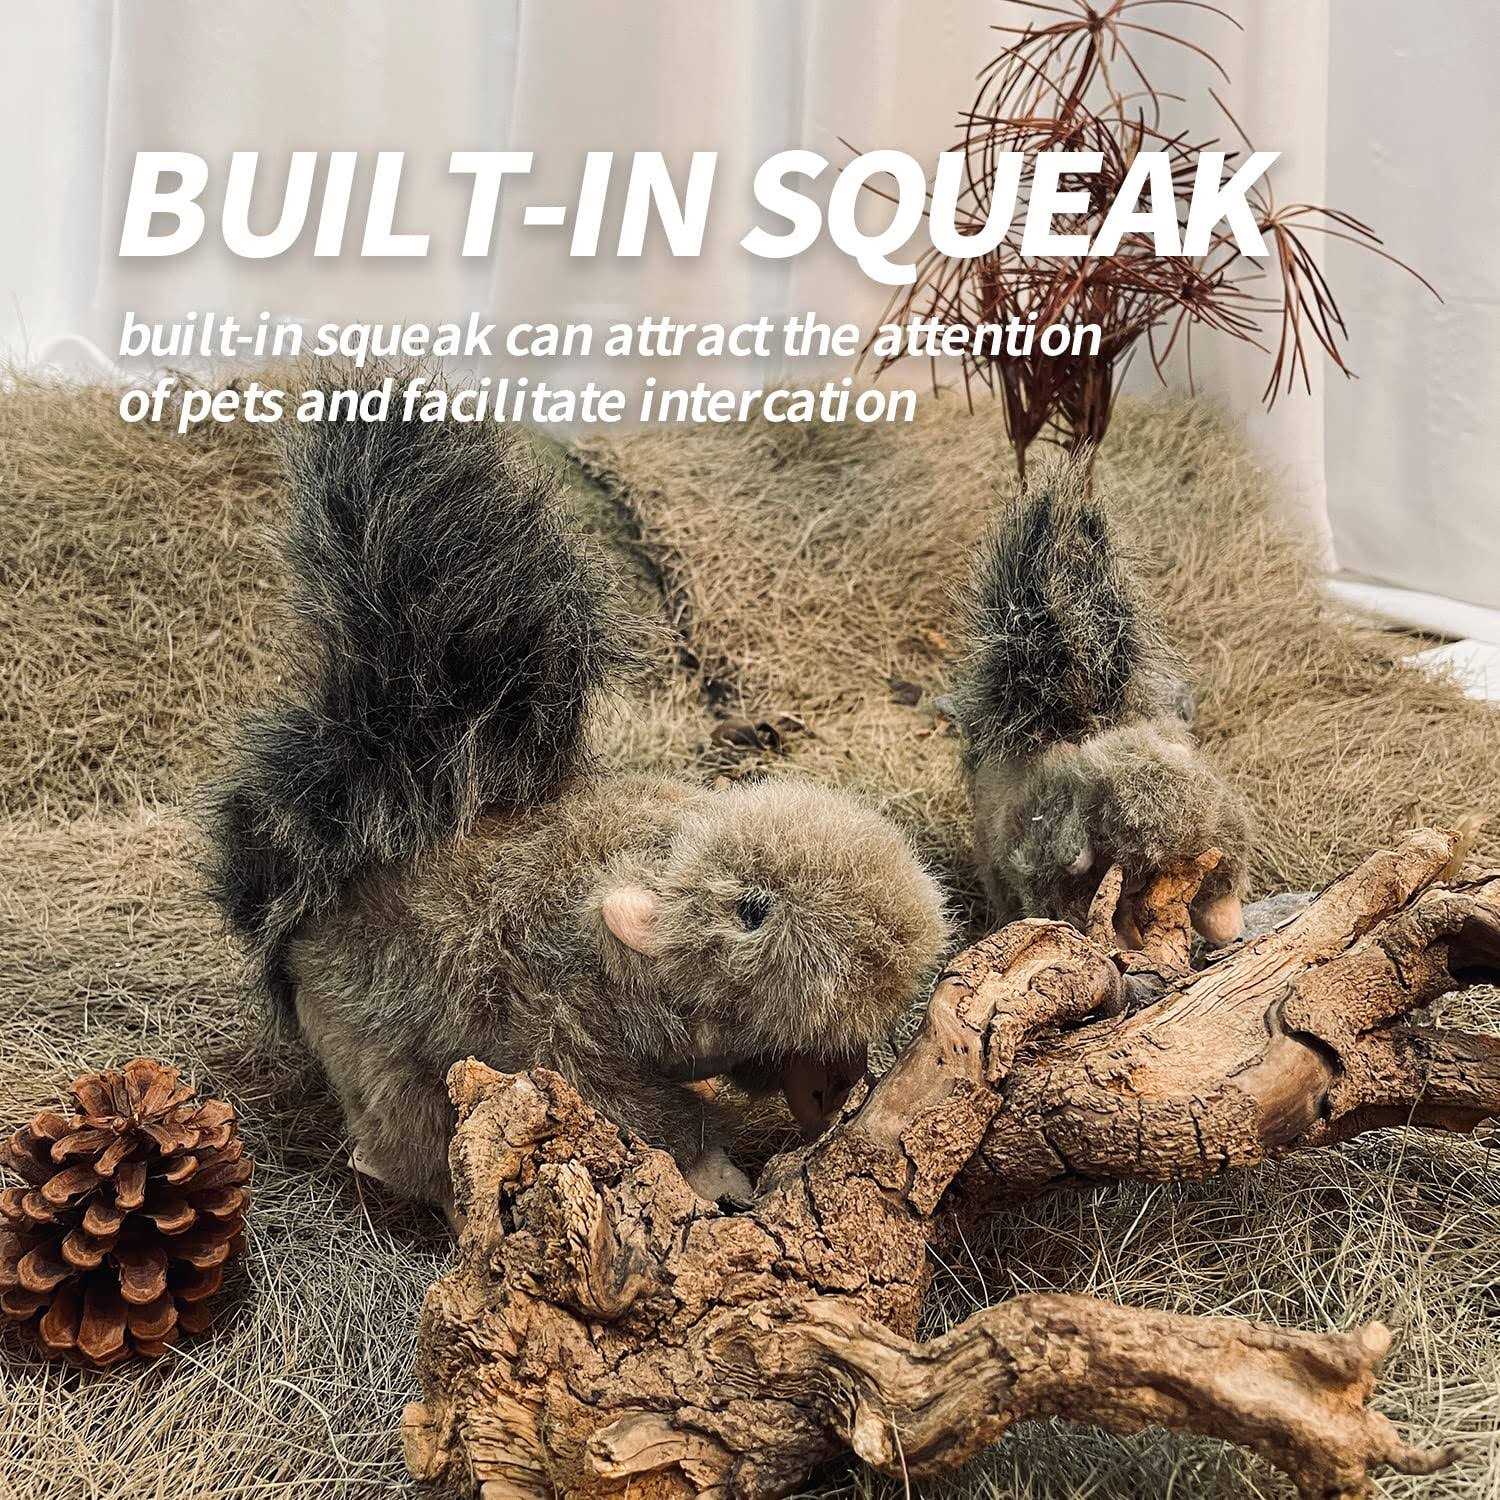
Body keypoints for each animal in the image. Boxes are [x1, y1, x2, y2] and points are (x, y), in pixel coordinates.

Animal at [203, 373, 951, 1212]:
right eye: (753, 910)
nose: (902, 943)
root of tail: (305, 911)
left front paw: (823, 1087)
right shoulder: (563, 1026)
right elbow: (639, 1112)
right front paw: (713, 1176)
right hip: (379, 1060)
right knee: (407, 1132)